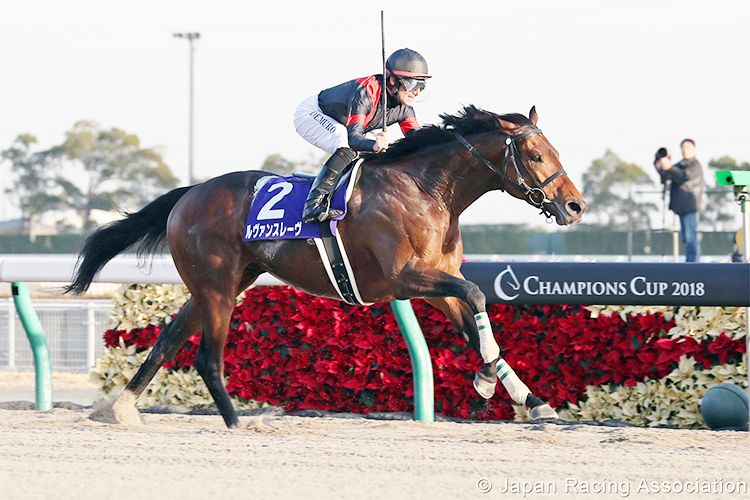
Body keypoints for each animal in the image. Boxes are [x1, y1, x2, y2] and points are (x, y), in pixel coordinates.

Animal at [66, 105, 588, 426]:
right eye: (536, 154)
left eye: (556, 152)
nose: (576, 207)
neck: (426, 190)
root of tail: (190, 193)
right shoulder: (405, 279)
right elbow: (479, 296)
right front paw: (485, 381)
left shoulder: (438, 284)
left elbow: (475, 323)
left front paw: (530, 400)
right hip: (216, 287)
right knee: (206, 357)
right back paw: (237, 422)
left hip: (223, 283)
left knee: (169, 339)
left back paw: (122, 409)